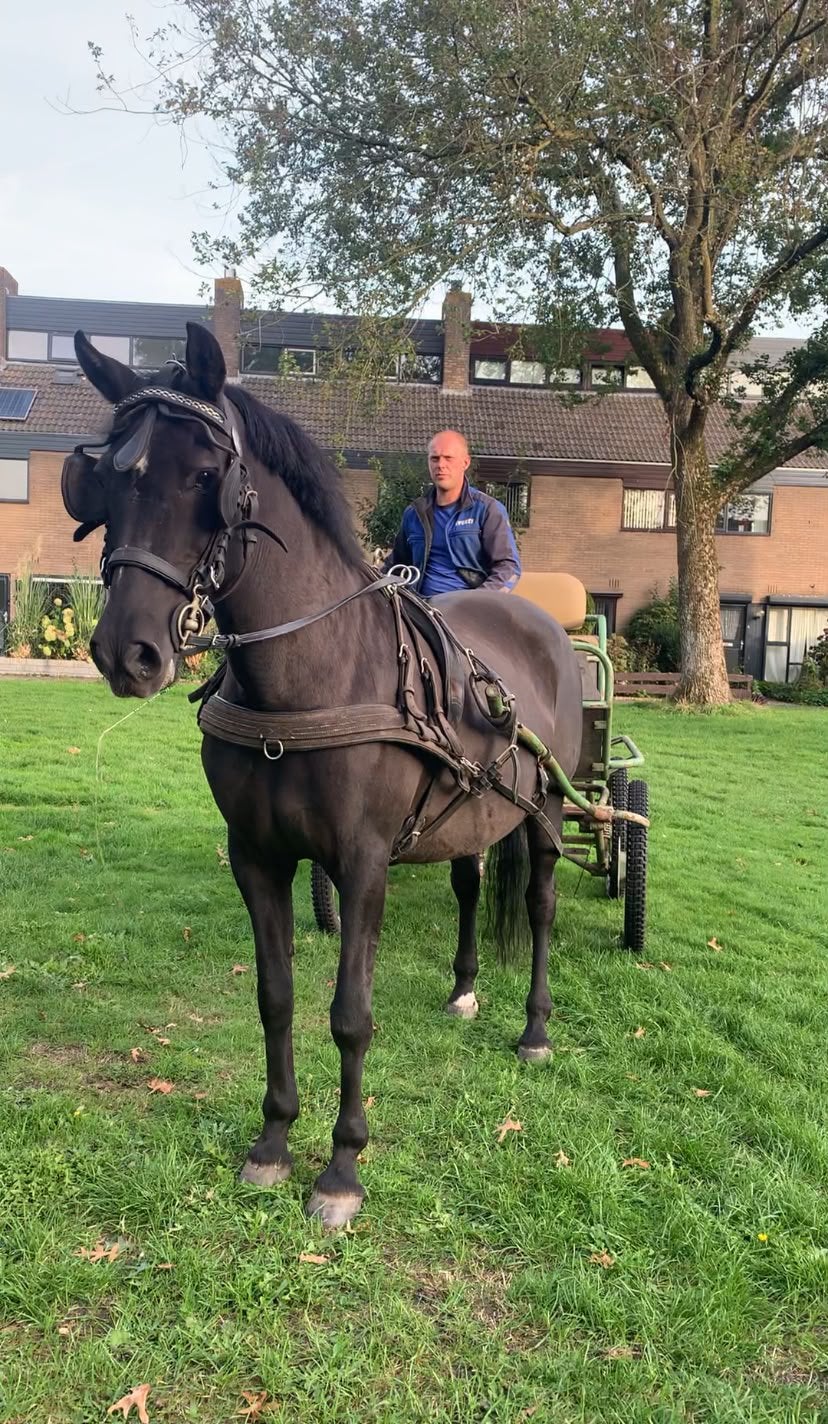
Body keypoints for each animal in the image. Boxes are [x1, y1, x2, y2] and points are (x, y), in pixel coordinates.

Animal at [64, 322, 583, 1228]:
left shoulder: (365, 862)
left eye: (207, 477)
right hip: (467, 818)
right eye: (111, 477)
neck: (309, 671)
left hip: (547, 813)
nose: (128, 653)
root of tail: (542, 623)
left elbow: (349, 1015)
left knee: (542, 905)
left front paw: (341, 1167)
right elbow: (274, 997)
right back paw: (464, 988)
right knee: (471, 886)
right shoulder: (257, 858)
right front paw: (273, 1141)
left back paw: (535, 1029)